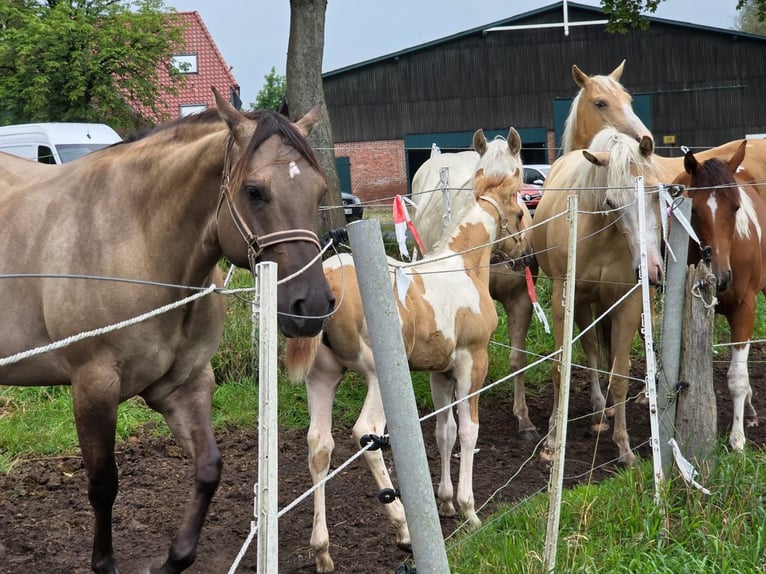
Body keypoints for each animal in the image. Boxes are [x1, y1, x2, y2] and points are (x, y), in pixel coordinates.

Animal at [0, 88, 335, 574]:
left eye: (319, 190)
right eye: (254, 191)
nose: (312, 307)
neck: (137, 240)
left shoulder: (184, 385)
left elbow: (209, 468)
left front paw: (172, 560)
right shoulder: (93, 387)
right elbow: (103, 483)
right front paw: (104, 564)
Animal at [286, 159, 531, 573]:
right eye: (521, 212)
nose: (527, 256)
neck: (461, 267)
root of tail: (330, 280)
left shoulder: (439, 372)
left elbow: (444, 433)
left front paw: (445, 502)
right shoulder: (472, 362)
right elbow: (469, 432)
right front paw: (469, 510)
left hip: (323, 378)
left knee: (319, 445)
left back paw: (322, 550)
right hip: (375, 378)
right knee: (366, 434)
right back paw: (402, 528)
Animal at [531, 126, 665, 464]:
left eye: (655, 193)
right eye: (611, 201)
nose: (651, 269)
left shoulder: (628, 304)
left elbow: (620, 374)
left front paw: (624, 446)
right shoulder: (564, 300)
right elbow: (560, 367)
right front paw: (553, 437)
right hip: (582, 304)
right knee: (591, 349)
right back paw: (597, 408)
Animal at [672, 141, 766, 451]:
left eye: (736, 207)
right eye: (695, 211)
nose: (721, 276)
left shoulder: (745, 308)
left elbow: (737, 378)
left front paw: (737, 438)